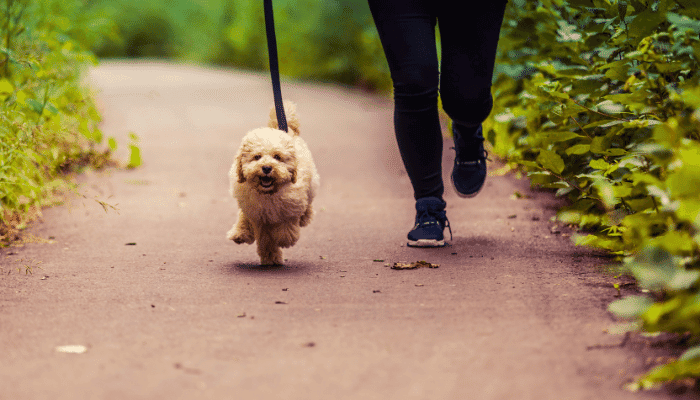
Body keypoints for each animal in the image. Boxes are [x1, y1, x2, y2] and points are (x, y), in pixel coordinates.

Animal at [227, 101, 320, 266]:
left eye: (277, 157)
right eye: (257, 157)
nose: (266, 168)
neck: (268, 193)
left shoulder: (290, 207)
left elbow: (286, 228)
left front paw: (285, 239)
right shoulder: (257, 215)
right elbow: (265, 239)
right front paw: (270, 256)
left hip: (311, 184)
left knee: (308, 204)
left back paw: (305, 217)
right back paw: (241, 233)